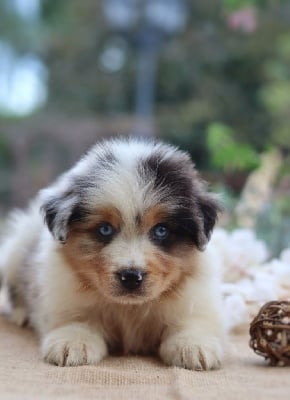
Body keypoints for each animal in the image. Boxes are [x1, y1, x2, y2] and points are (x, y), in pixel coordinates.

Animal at [0, 138, 224, 368]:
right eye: (105, 229)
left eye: (161, 230)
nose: (131, 277)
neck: (129, 309)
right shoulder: (66, 297)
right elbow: (77, 319)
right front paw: (72, 343)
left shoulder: (194, 299)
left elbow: (191, 321)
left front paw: (193, 346)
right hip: (13, 253)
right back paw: (21, 315)